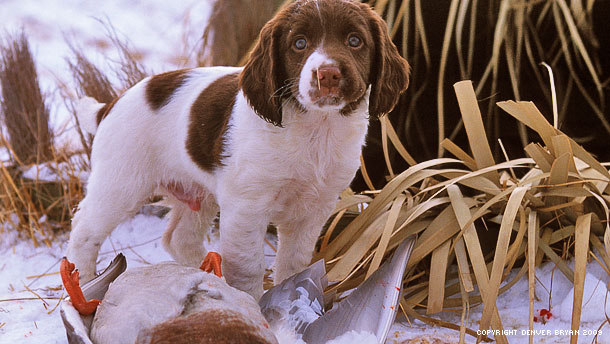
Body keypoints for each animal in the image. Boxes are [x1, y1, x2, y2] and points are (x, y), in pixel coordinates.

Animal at [66, 0, 408, 298]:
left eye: (355, 41)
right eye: (299, 43)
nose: (329, 74)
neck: (314, 129)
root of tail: (110, 105)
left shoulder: (314, 209)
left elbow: (294, 263)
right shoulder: (247, 208)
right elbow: (247, 267)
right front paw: (252, 307)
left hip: (197, 194)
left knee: (178, 238)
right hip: (121, 183)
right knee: (84, 230)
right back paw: (84, 281)